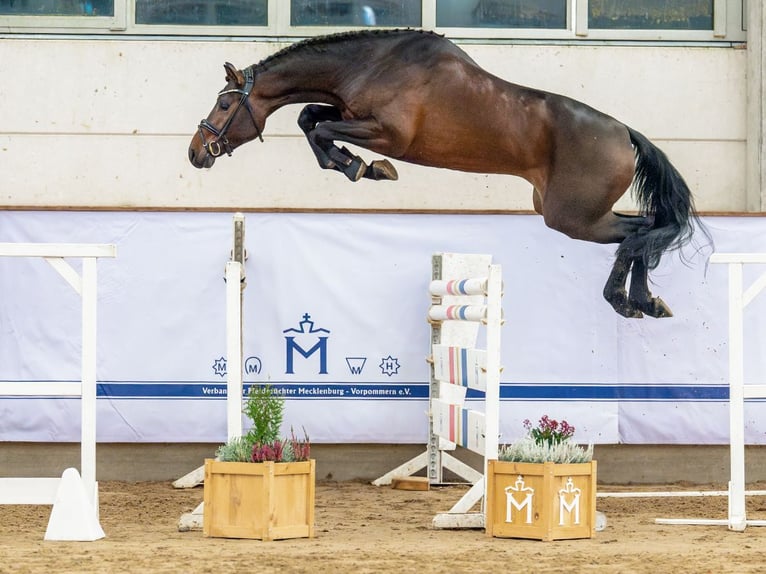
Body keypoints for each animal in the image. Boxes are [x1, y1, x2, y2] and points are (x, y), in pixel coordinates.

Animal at [188, 29, 705, 319]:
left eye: (224, 105)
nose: (196, 153)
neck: (371, 63)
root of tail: (624, 133)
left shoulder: (387, 133)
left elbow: (321, 131)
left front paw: (365, 168)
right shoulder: (349, 114)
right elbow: (310, 118)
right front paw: (358, 166)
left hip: (572, 217)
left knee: (638, 233)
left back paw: (624, 301)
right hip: (574, 214)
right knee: (646, 229)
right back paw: (645, 303)